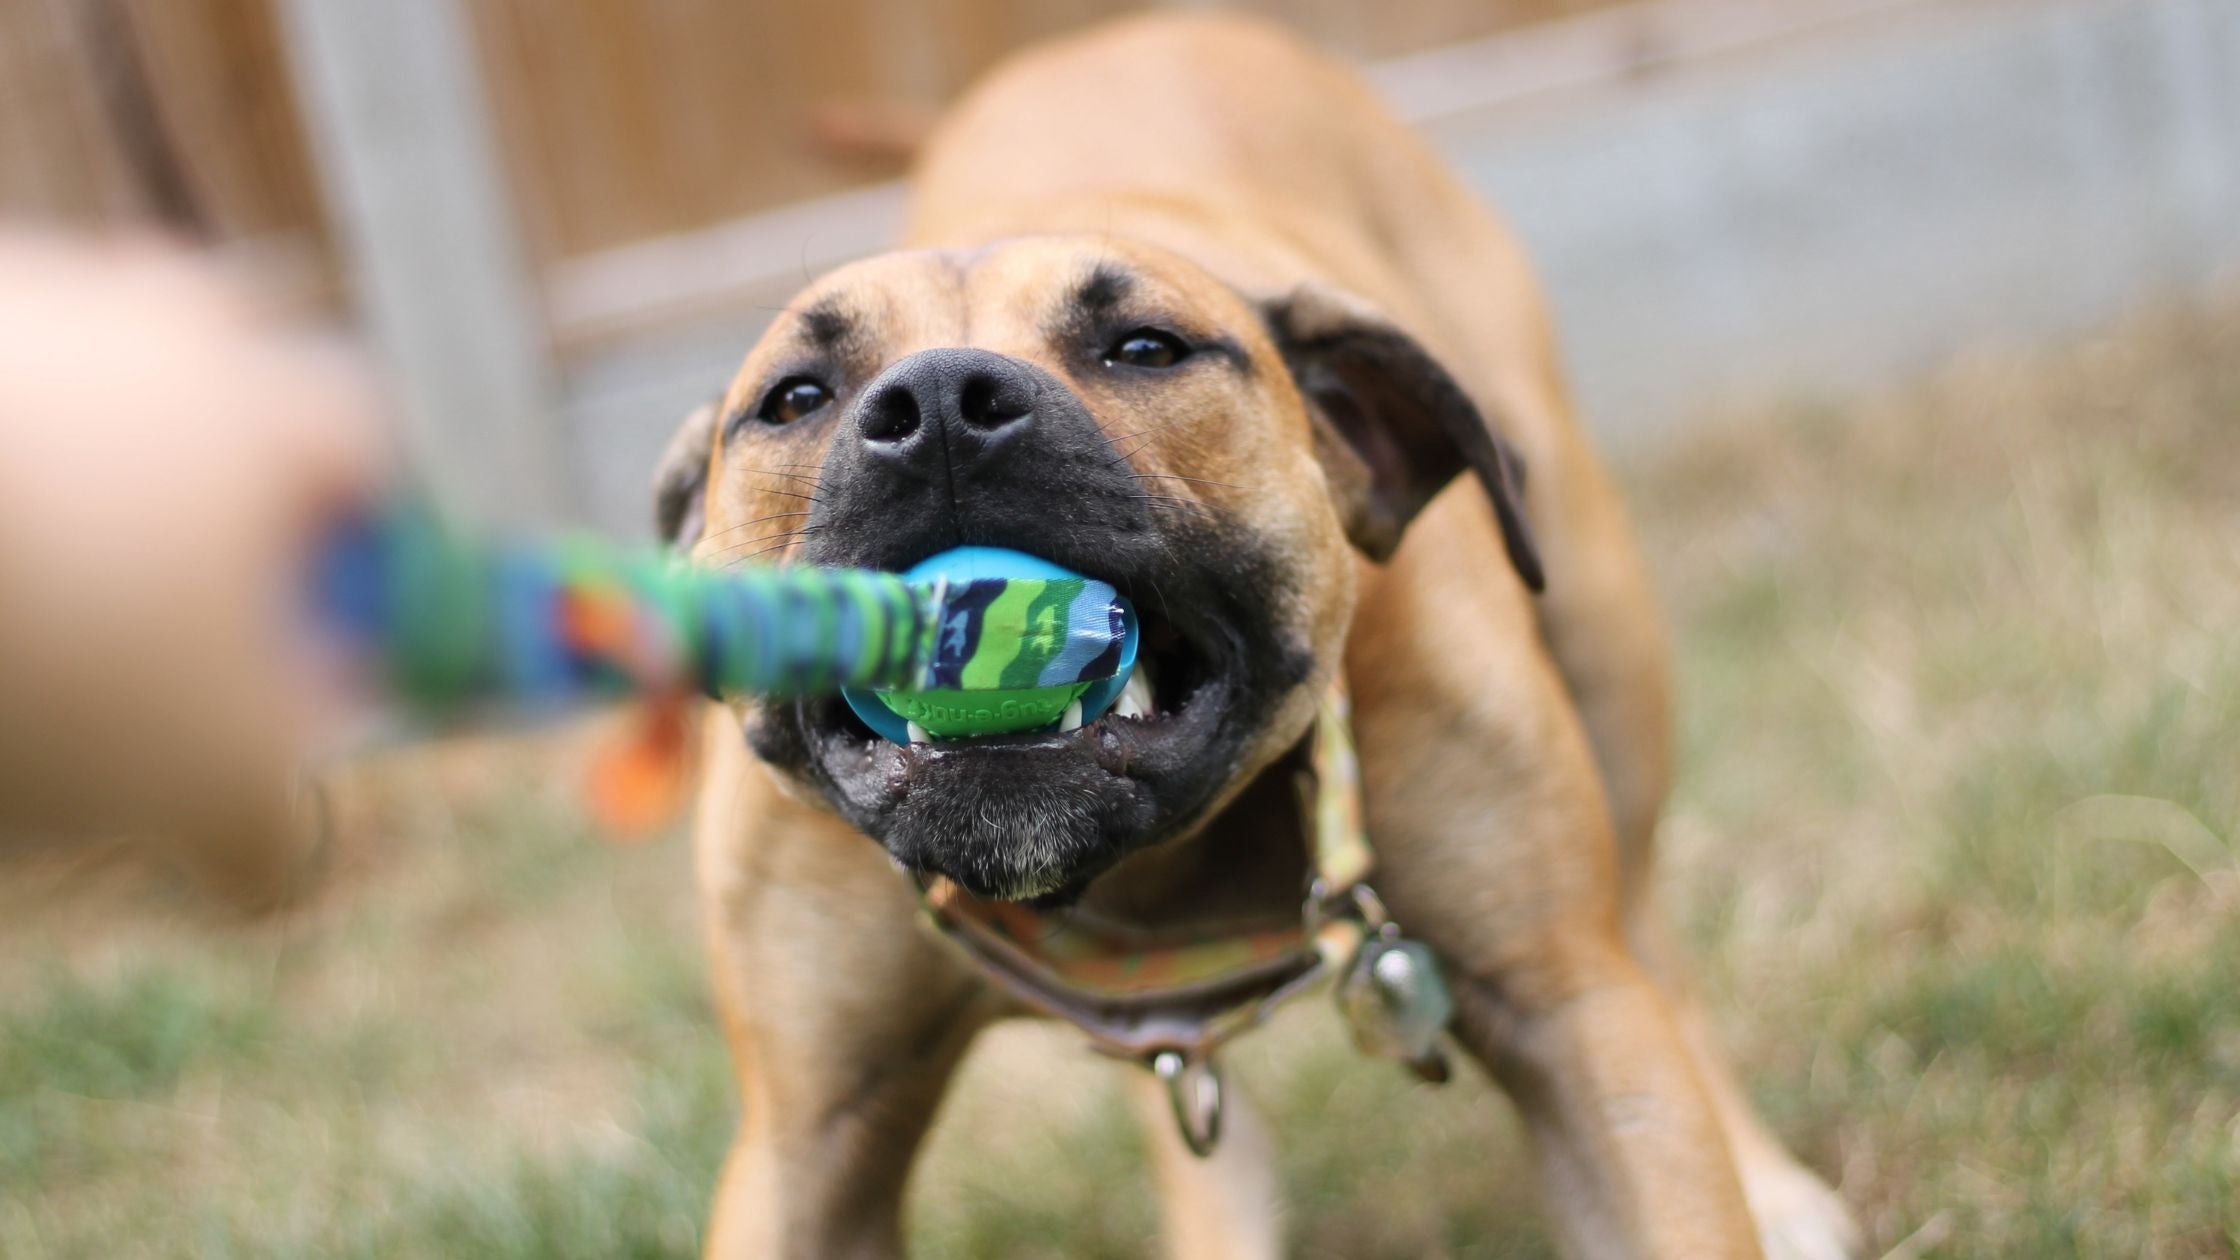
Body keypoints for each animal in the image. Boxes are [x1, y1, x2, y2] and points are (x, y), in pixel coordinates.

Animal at [654, 12, 1863, 1255]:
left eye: (1145, 349)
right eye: (795, 398)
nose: (939, 405)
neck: (1143, 872)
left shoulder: (1565, 1012)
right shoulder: (809, 1141)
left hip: (1601, 644)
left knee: (1647, 928)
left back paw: (1763, 1179)